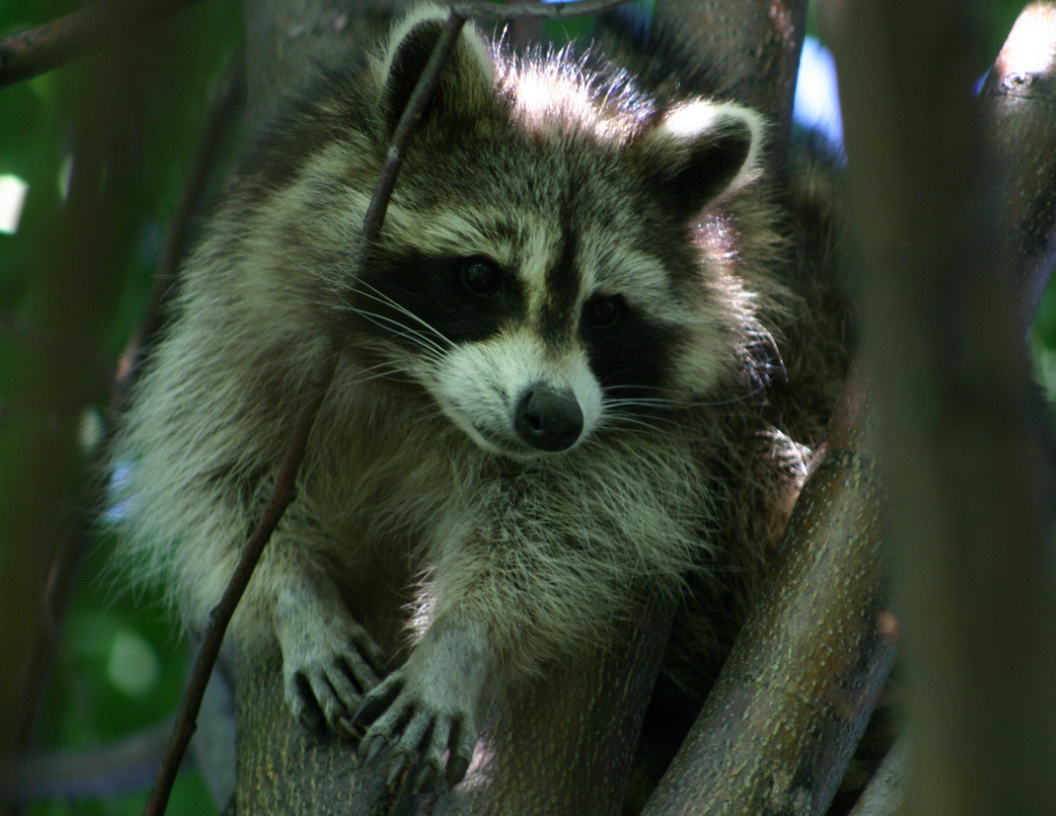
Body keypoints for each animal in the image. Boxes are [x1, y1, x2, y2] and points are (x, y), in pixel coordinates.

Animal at [112, 3, 847, 800]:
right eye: (480, 276)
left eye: (606, 312)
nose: (552, 420)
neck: (418, 394)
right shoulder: (248, 297)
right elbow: (220, 468)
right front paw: (294, 596)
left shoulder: (663, 429)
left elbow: (567, 530)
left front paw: (459, 642)